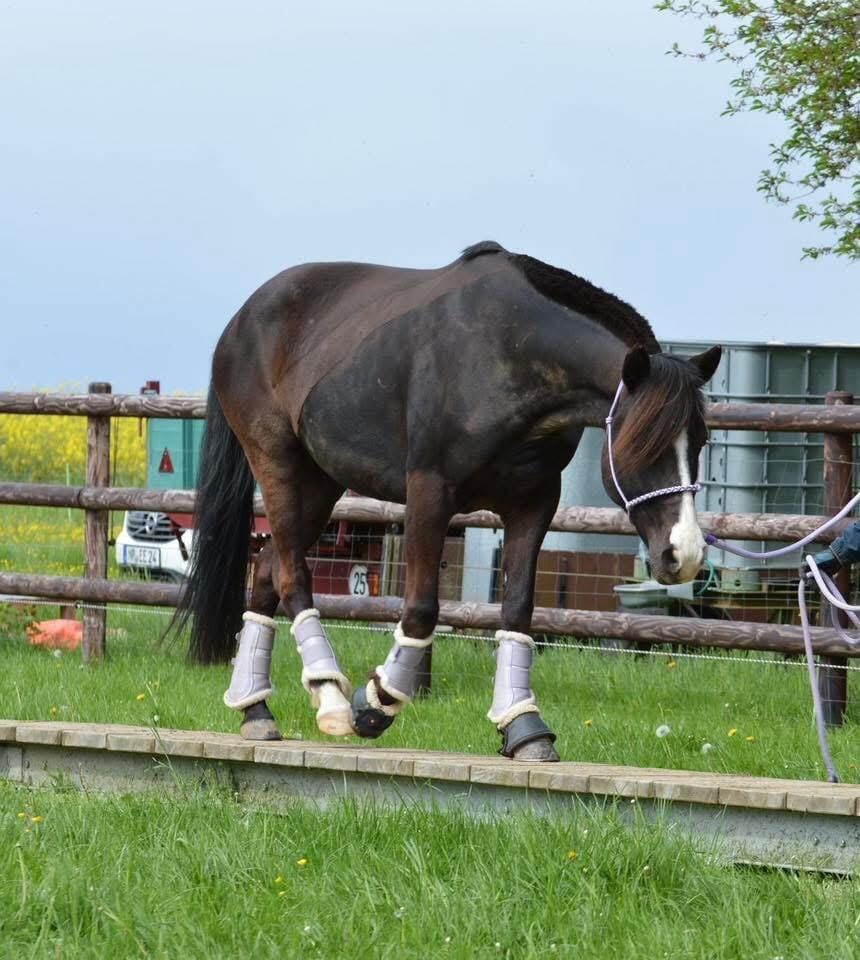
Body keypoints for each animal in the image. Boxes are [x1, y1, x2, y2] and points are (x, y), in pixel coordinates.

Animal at [173, 240, 721, 761]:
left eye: (701, 440)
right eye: (640, 444)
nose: (685, 553)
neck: (508, 349)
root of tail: (243, 318)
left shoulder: (534, 502)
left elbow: (518, 610)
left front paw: (523, 725)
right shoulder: (428, 491)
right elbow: (421, 607)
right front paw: (377, 703)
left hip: (321, 482)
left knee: (267, 570)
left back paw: (255, 709)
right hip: (277, 463)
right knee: (290, 576)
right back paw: (329, 698)